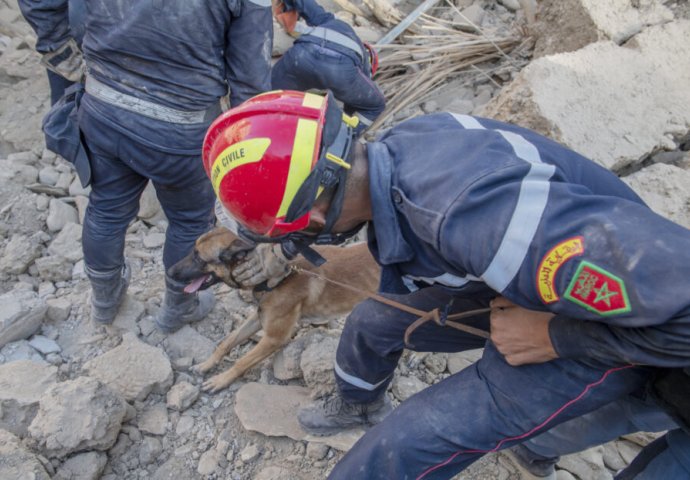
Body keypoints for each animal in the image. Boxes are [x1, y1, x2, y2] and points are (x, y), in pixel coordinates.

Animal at [169, 227, 378, 392]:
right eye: (193, 251)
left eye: (198, 257)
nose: (169, 272)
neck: (275, 279)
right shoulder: (258, 317)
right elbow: (227, 342)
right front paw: (206, 365)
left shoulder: (273, 338)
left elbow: (242, 360)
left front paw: (221, 380)